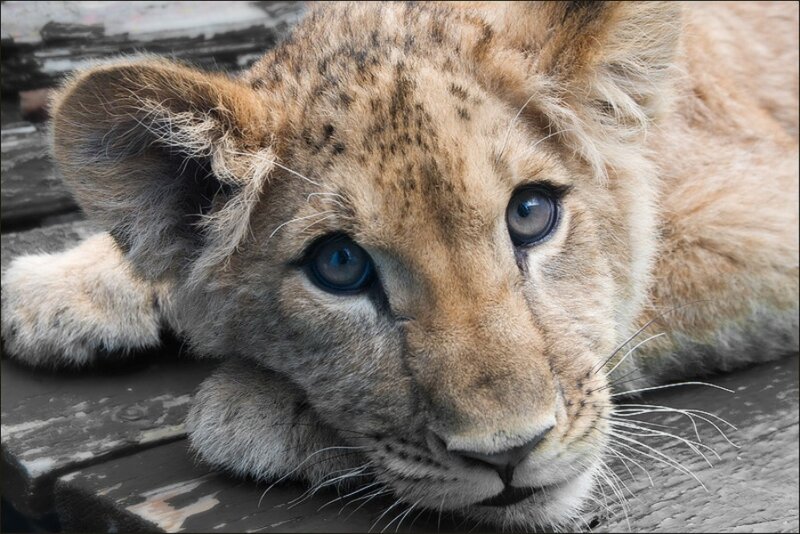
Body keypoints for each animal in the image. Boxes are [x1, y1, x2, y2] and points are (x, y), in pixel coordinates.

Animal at [2, 2, 797, 530]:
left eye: (530, 214)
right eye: (340, 265)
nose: (509, 454)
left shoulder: (762, 209)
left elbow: (643, 300)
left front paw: (252, 408)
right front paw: (59, 288)